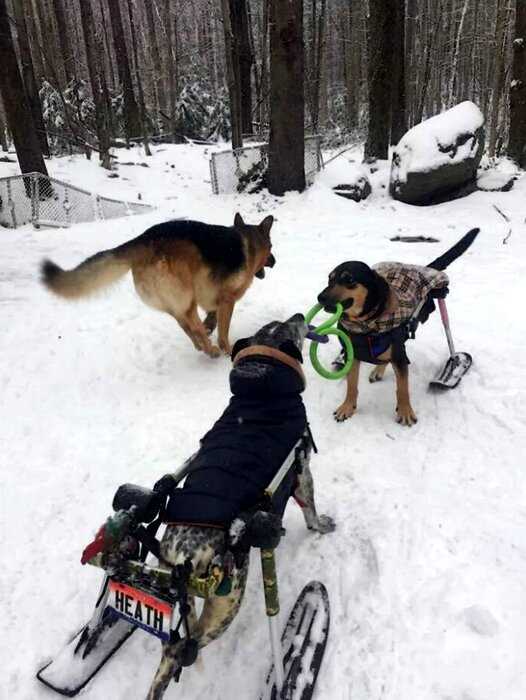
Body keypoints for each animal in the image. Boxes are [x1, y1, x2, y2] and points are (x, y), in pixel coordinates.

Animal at [40, 212, 276, 356]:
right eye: (271, 247)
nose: (274, 261)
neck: (248, 244)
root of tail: (143, 240)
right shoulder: (227, 300)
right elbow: (223, 329)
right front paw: (227, 348)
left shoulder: (213, 298)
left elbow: (212, 316)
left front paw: (211, 327)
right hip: (185, 297)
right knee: (192, 324)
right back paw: (211, 349)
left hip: (173, 303)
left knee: (186, 326)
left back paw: (201, 345)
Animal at [145, 314, 334, 700]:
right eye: (290, 327)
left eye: (279, 322)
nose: (300, 316)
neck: (261, 387)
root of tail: (182, 555)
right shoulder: (301, 469)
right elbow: (310, 508)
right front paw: (320, 525)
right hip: (226, 602)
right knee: (183, 648)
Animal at [318, 230, 482, 426]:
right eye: (329, 279)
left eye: (349, 279)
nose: (320, 297)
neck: (366, 324)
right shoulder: (354, 353)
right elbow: (352, 385)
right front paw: (347, 407)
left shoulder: (400, 357)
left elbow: (402, 388)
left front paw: (405, 412)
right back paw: (378, 370)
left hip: (438, 298)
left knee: (446, 328)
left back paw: (454, 363)